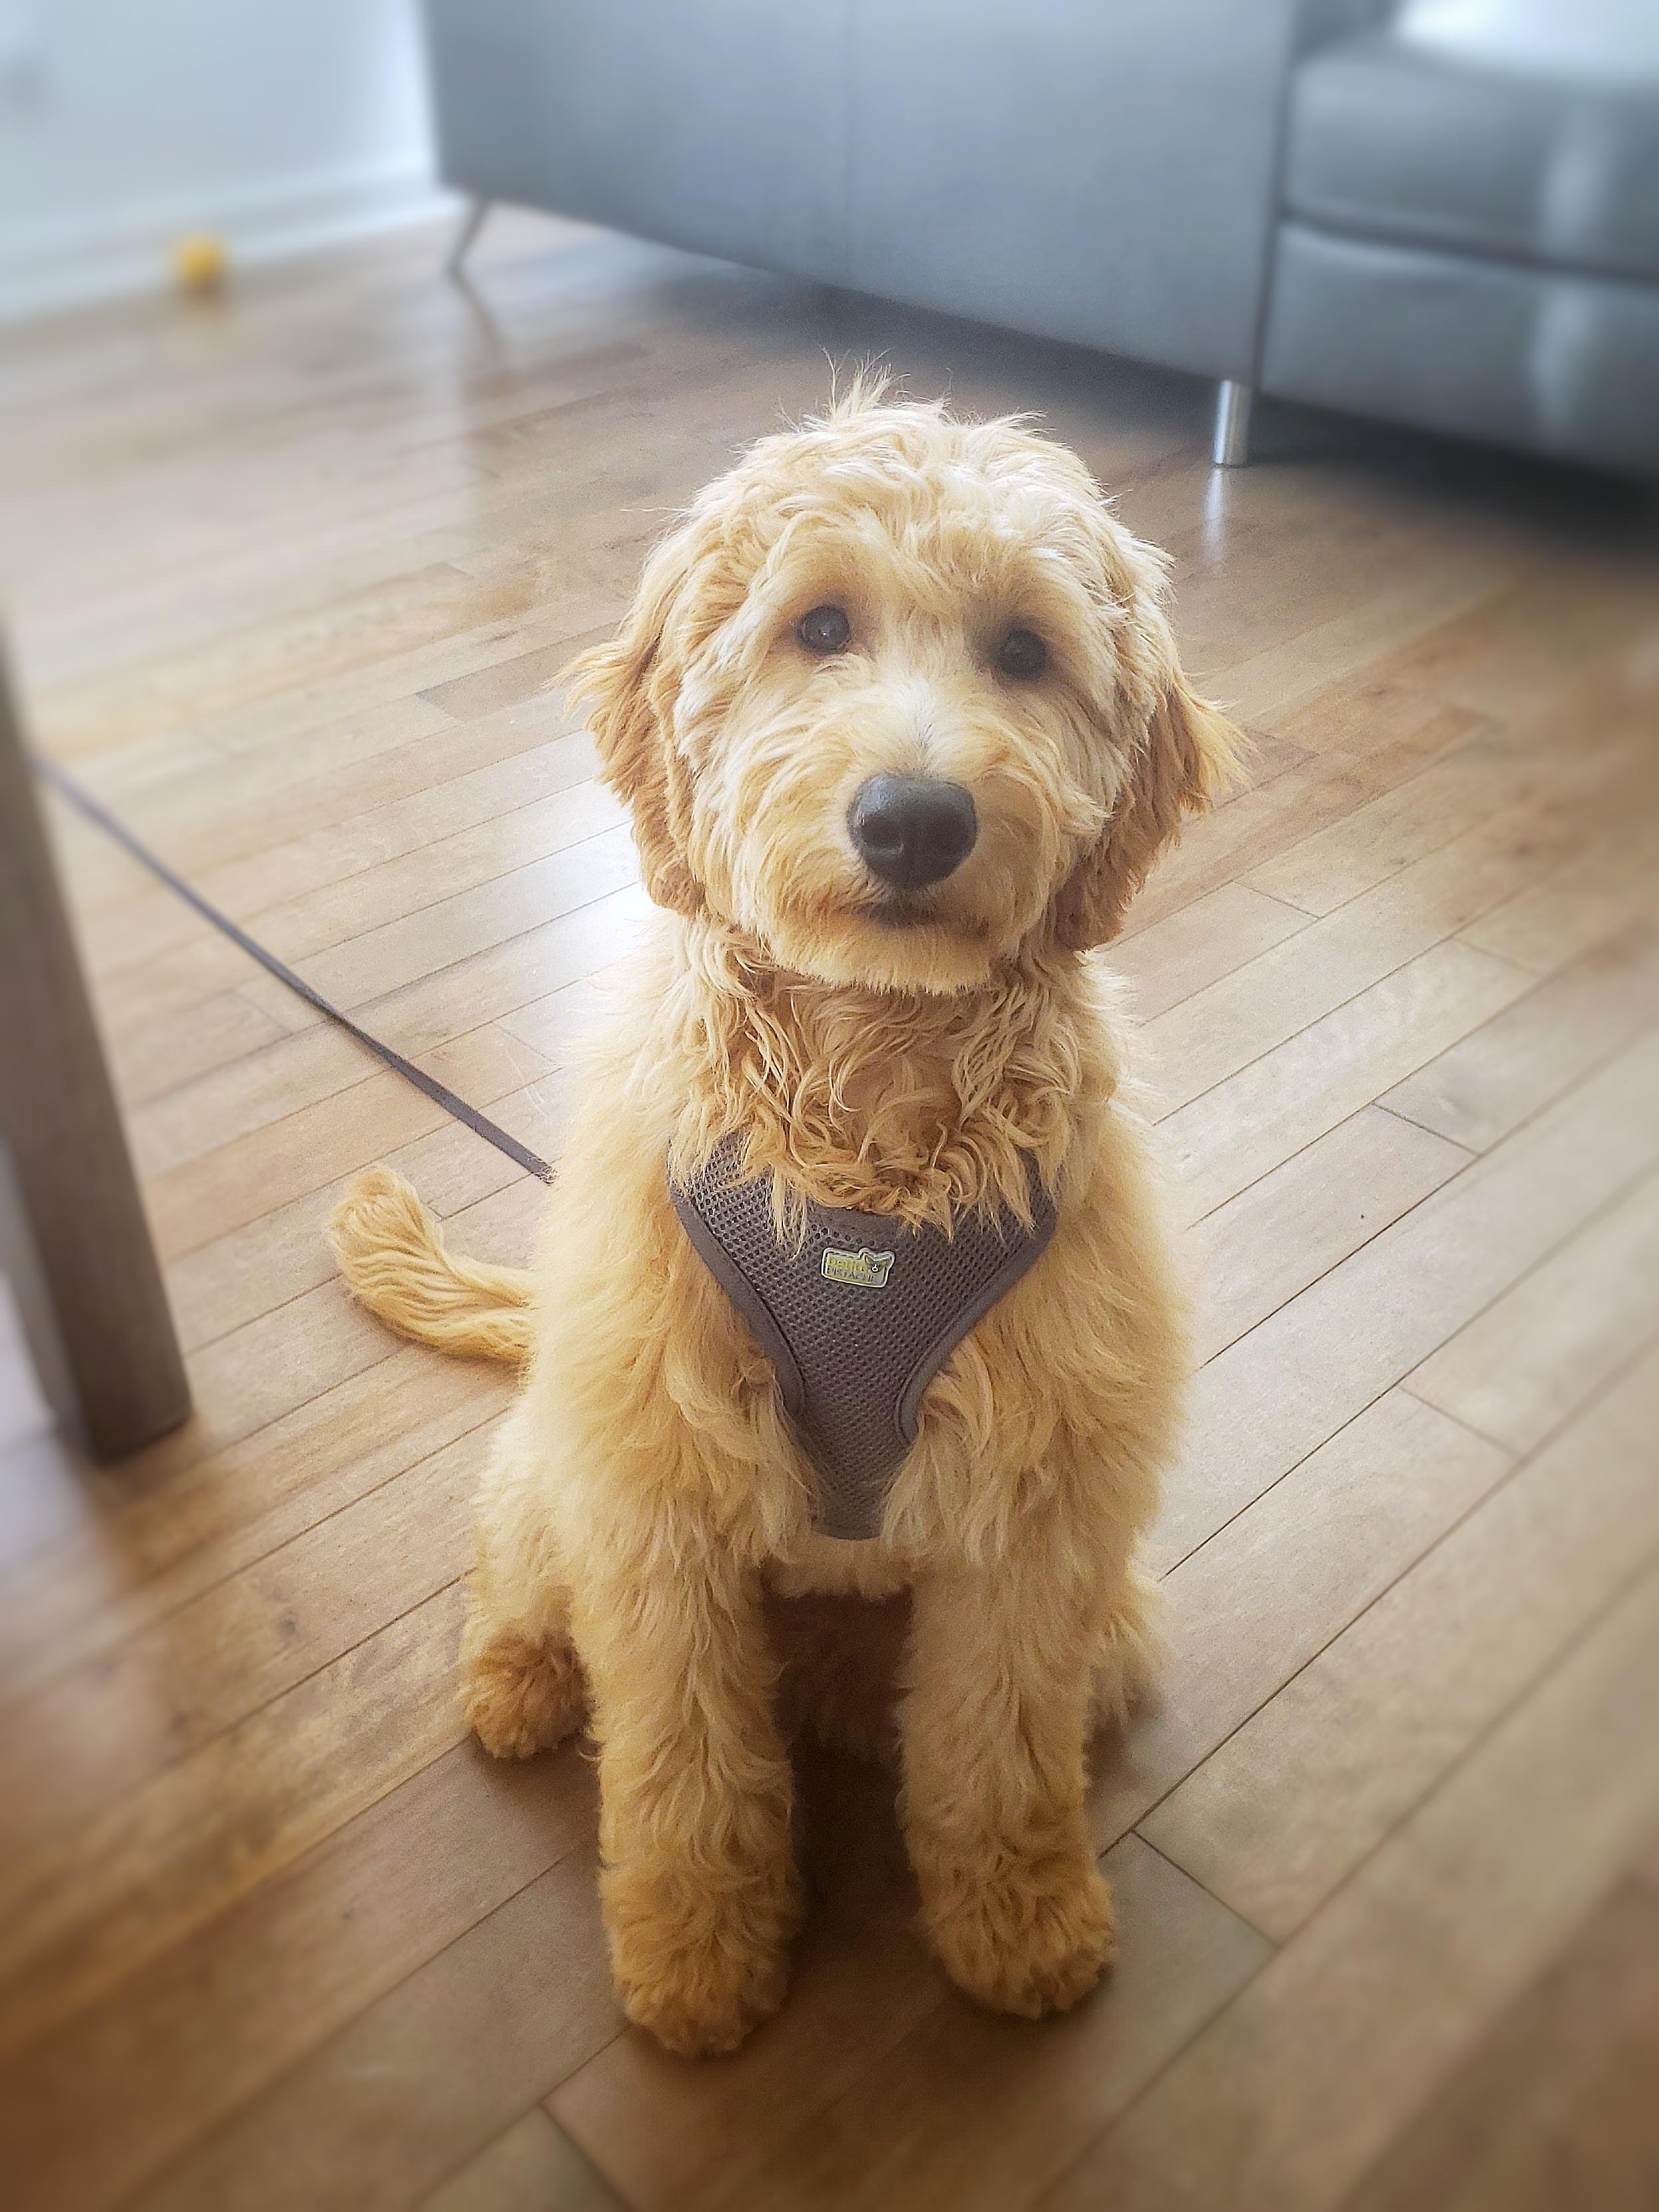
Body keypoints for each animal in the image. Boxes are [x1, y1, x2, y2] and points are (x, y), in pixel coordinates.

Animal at [331, 387, 1240, 2056]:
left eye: (1023, 650)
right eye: (818, 624)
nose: (912, 821)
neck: (871, 1123)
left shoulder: (1033, 1517)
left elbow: (997, 1750)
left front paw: (1017, 1921)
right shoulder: (658, 1497)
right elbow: (683, 1763)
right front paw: (698, 1952)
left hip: (1112, 1622)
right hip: (563, 1463)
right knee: (513, 1571)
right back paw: (516, 1682)